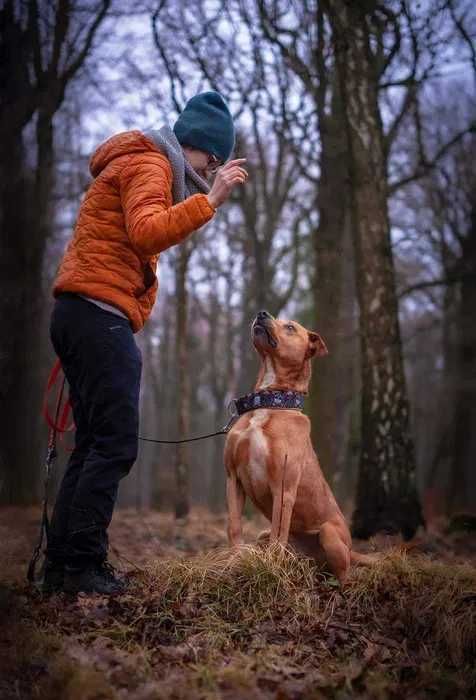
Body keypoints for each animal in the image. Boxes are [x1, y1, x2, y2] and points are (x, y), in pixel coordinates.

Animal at [223, 312, 372, 584]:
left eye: (290, 327)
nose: (261, 313)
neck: (272, 402)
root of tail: (351, 549)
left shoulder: (283, 487)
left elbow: (278, 534)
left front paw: (270, 567)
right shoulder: (233, 478)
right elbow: (235, 526)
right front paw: (235, 561)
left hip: (329, 533)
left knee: (344, 571)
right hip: (264, 534)